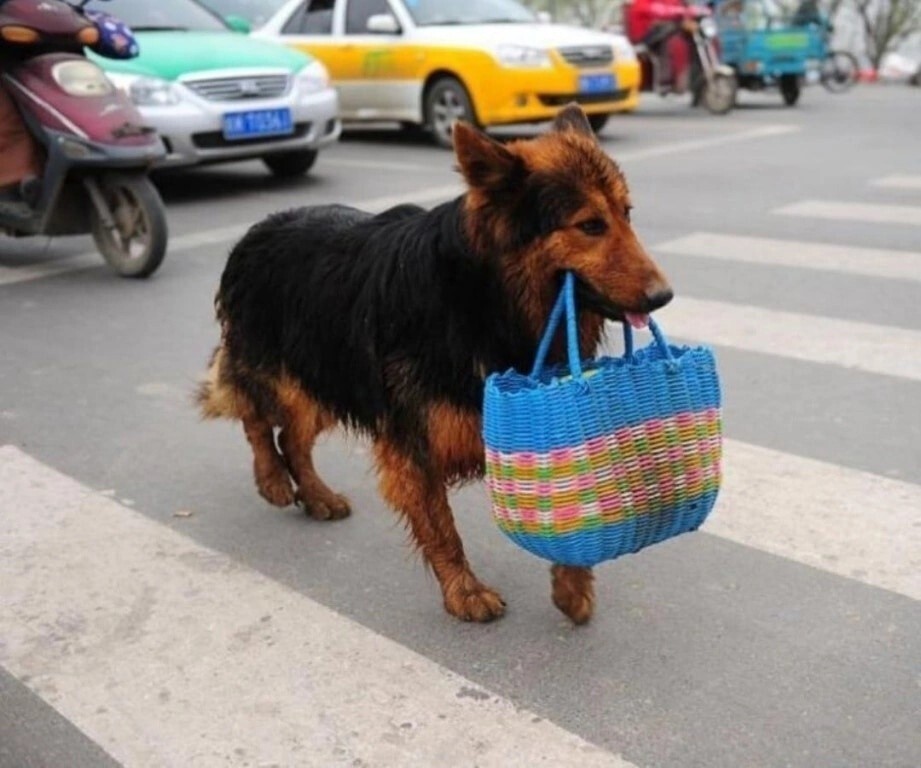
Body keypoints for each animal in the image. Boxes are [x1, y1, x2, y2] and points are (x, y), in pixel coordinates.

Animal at [198, 105, 672, 624]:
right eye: (590, 225)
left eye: (626, 214)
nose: (663, 297)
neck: (488, 301)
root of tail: (258, 228)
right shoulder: (413, 440)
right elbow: (441, 527)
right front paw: (464, 591)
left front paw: (572, 584)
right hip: (283, 374)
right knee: (255, 417)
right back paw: (272, 480)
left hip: (325, 381)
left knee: (292, 437)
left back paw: (316, 494)